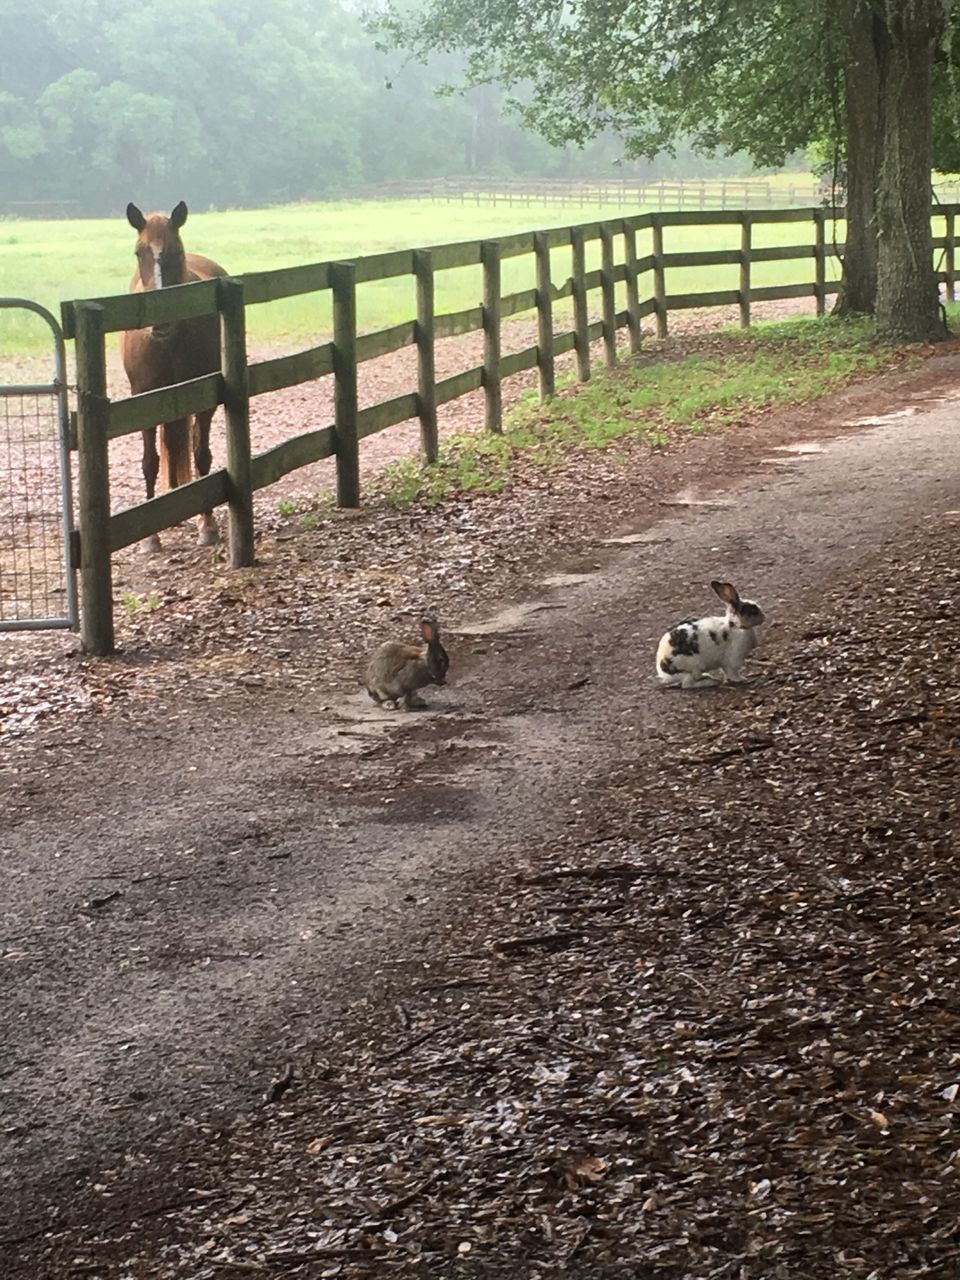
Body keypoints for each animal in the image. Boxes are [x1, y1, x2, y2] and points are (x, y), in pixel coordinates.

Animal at [118, 202, 225, 552]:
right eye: (139, 252)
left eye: (176, 251)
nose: (159, 321)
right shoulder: (144, 401)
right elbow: (149, 462)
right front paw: (150, 537)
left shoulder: (204, 399)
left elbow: (201, 456)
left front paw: (207, 525)